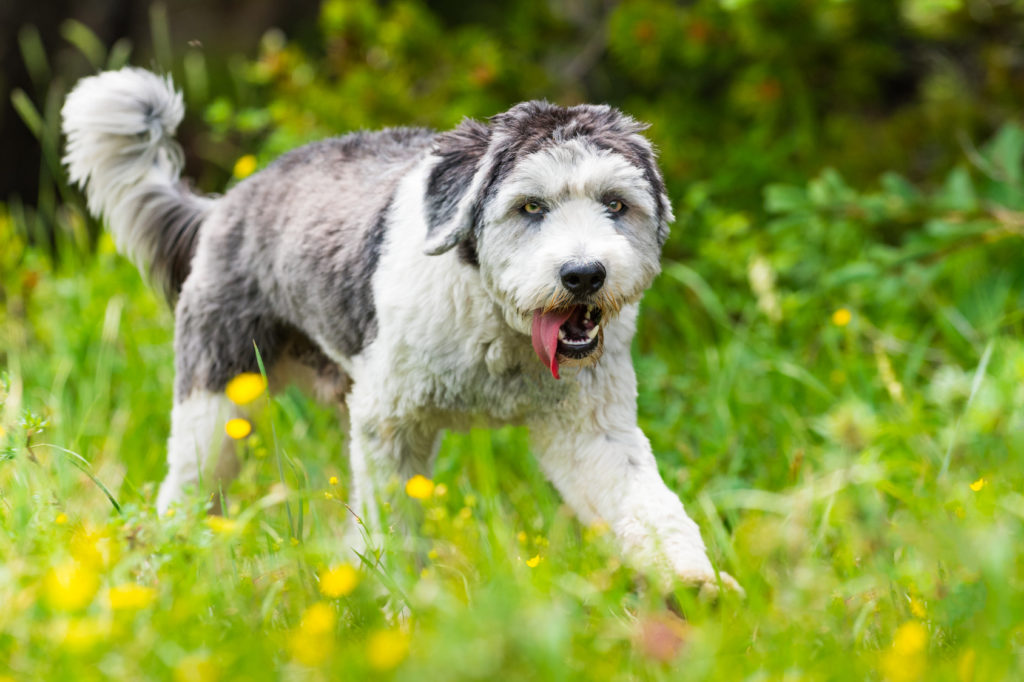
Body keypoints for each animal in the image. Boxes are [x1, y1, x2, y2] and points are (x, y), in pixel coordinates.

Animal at [61, 66, 737, 593]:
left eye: (616, 204)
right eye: (530, 206)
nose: (584, 274)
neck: (496, 325)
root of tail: (223, 205)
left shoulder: (587, 427)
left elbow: (645, 500)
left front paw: (694, 582)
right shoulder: (390, 425)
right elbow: (394, 528)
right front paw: (401, 608)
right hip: (219, 401)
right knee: (185, 491)